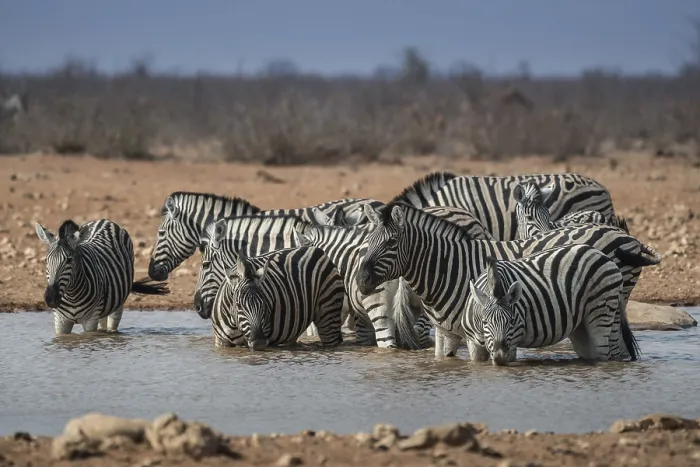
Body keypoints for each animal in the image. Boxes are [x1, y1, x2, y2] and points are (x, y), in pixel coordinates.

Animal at [35, 219, 170, 336]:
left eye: (69, 260)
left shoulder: (90, 320)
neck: (71, 295)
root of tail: (104, 220)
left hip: (117, 303)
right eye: (46, 260)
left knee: (112, 324)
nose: (50, 298)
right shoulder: (60, 321)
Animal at [211, 247, 345, 350]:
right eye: (238, 305)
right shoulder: (221, 343)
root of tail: (316, 250)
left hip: (328, 312)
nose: (259, 343)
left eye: (264, 305)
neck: (235, 327)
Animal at [463, 246, 639, 365]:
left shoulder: (513, 340)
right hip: (601, 319)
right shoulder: (473, 344)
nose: (500, 357)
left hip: (601, 308)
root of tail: (605, 257)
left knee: (602, 353)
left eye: (512, 321)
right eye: (485, 322)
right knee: (611, 351)